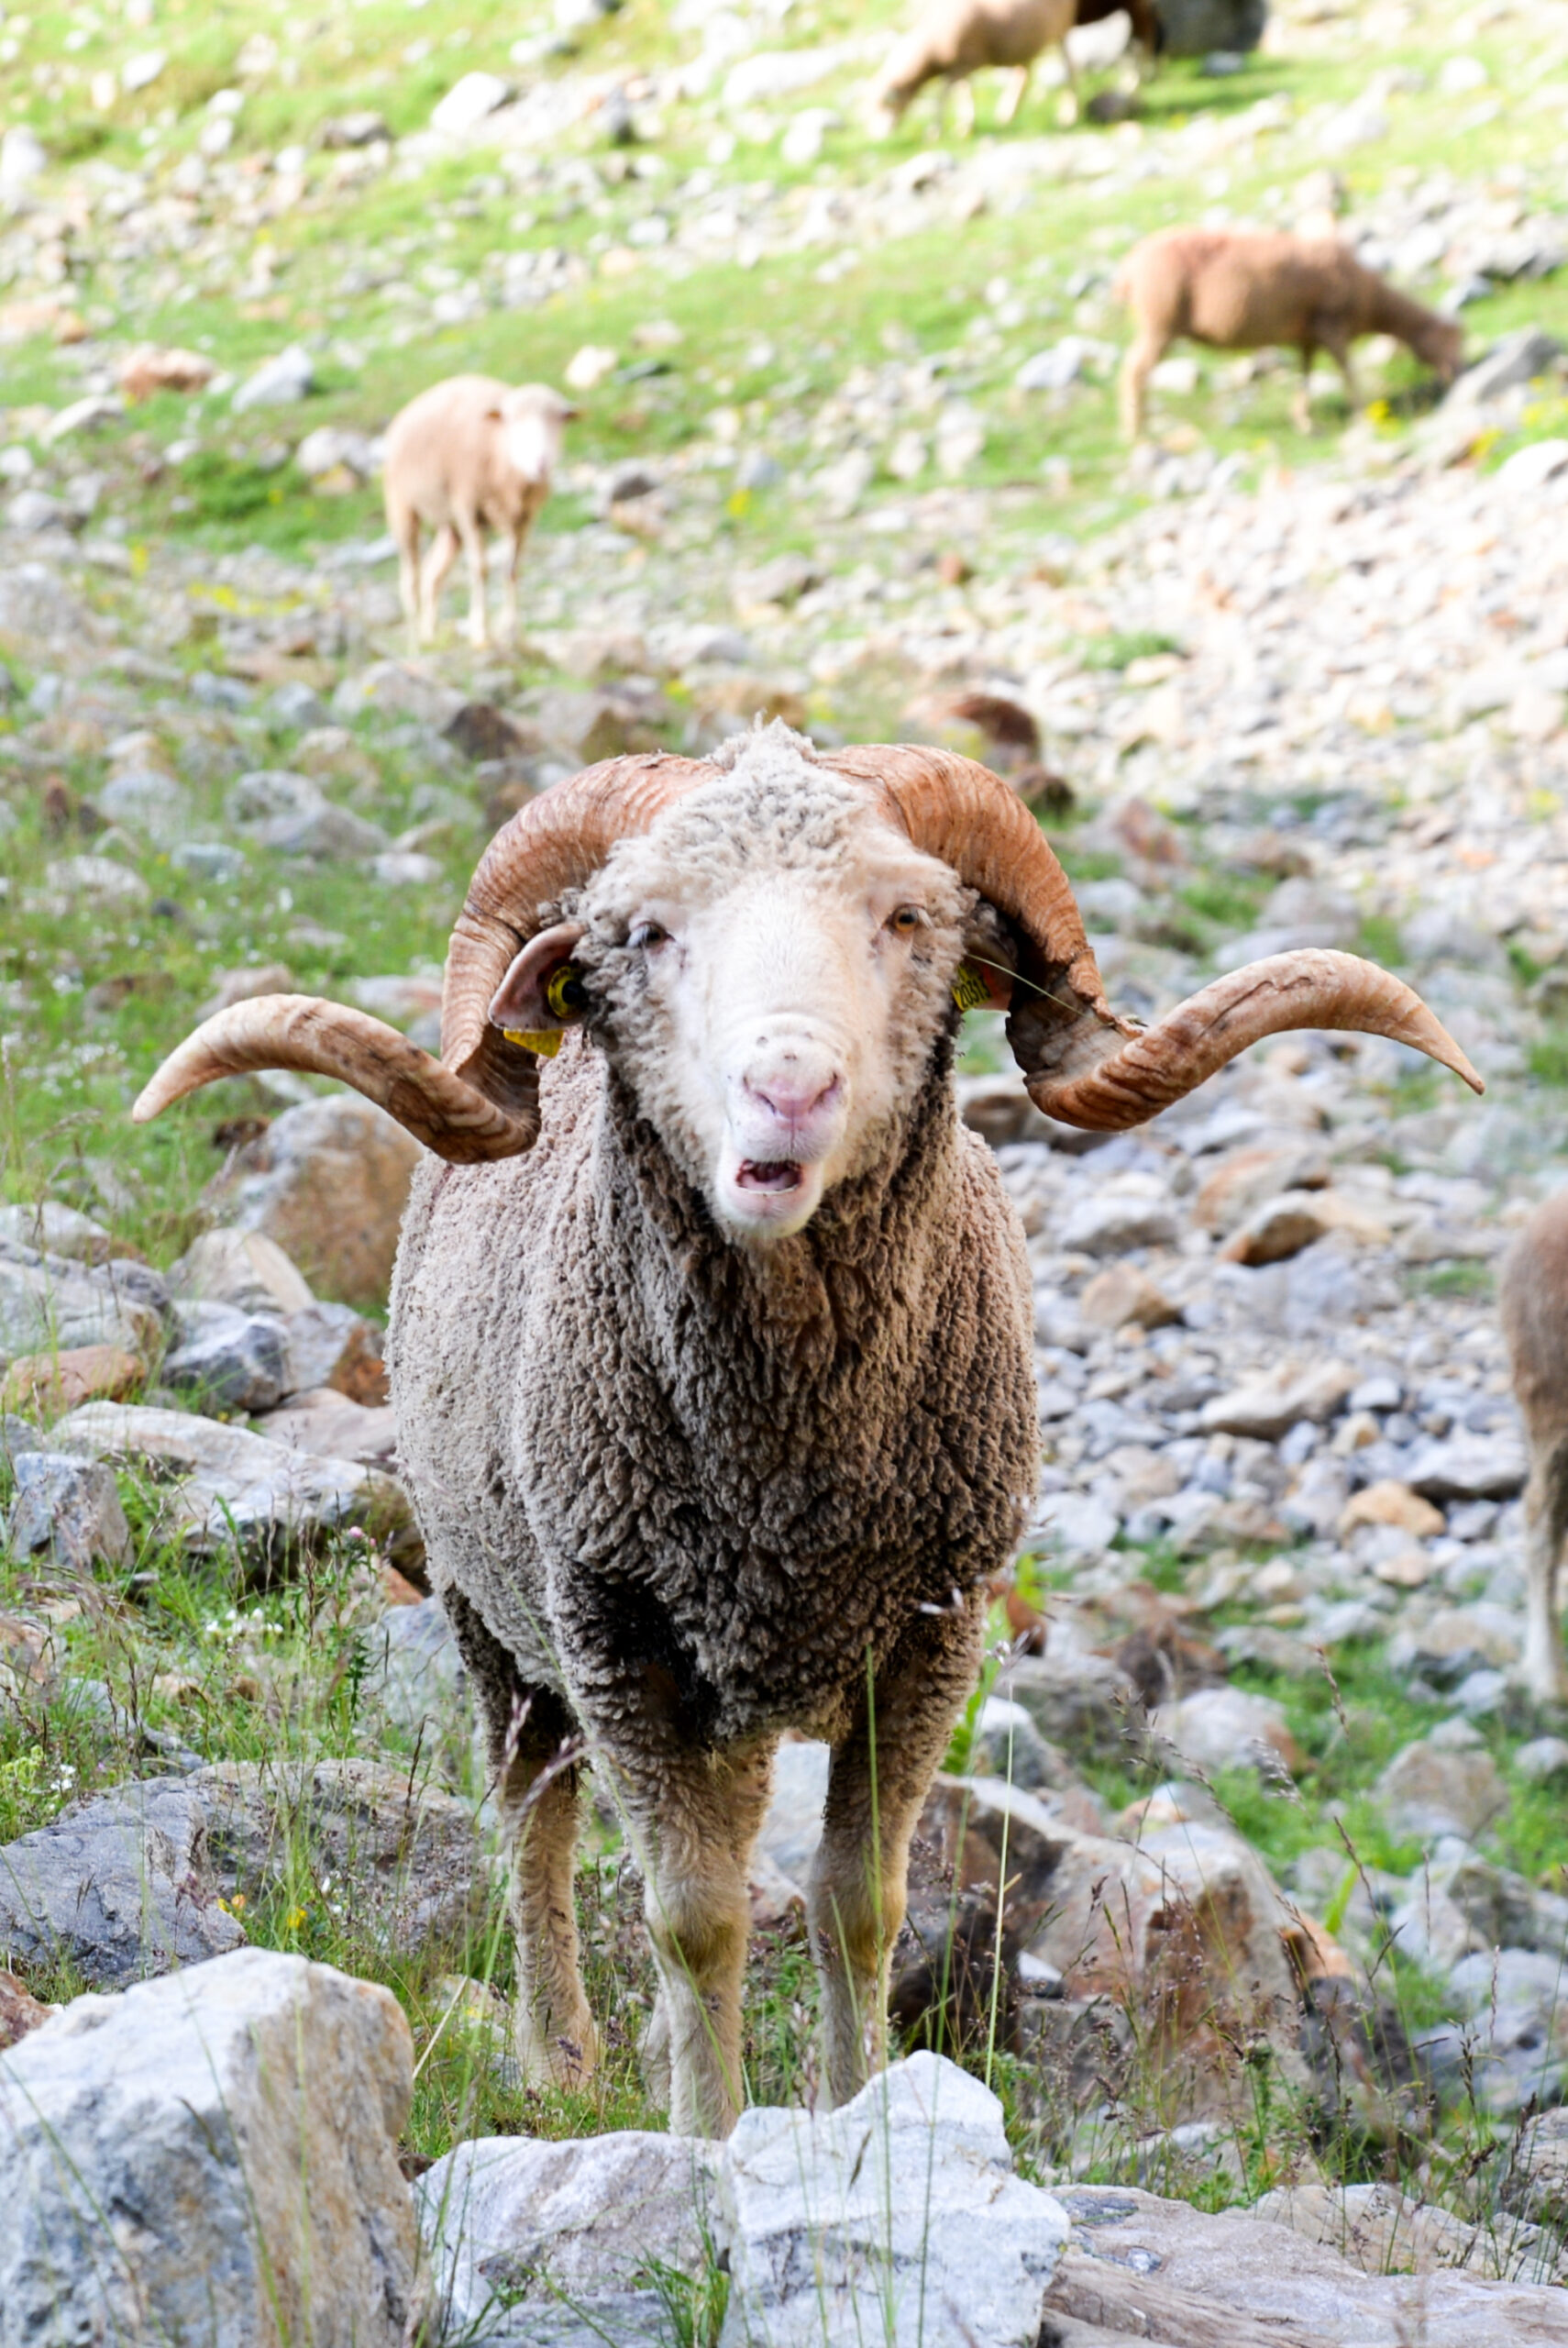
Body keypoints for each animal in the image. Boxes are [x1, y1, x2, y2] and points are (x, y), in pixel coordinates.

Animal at [138, 723, 1483, 2141]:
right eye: (644, 932)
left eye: (908, 917)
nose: (788, 1090)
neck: (788, 1477)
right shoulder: (616, 1637)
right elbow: (691, 1919)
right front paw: (706, 2137)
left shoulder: (930, 1638)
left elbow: (856, 1903)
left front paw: (853, 2115)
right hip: (491, 1610)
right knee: (533, 1814)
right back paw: (559, 2052)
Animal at [1112, 227, 1455, 438]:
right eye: (1452, 338)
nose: (1457, 372)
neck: (1371, 300)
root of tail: (1129, 267)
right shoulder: (1332, 324)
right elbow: (1347, 369)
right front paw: (1360, 412)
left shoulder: (1308, 336)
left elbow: (1305, 375)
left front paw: (1304, 420)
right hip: (1160, 323)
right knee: (1135, 372)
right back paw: (1136, 430)